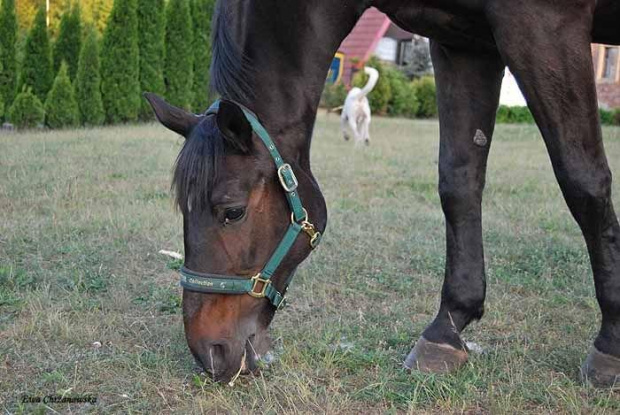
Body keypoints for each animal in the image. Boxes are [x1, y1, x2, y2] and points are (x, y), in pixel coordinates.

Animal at [145, 0, 620, 386]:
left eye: (232, 211)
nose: (207, 352)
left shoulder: (544, 26)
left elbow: (582, 180)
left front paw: (610, 342)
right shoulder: (463, 43)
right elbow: (459, 183)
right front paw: (446, 329)